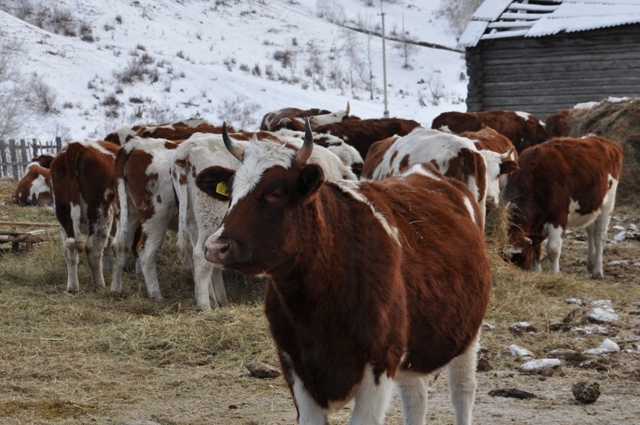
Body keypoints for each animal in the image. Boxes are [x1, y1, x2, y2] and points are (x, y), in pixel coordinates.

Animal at [50, 141, 120, 294]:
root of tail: (76, 146)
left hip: (64, 214)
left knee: (70, 247)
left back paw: (72, 287)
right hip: (100, 213)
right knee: (93, 248)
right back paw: (99, 285)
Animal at [170, 127, 358, 310]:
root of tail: (187, 150)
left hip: (195, 223)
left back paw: (218, 301)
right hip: (211, 224)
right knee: (201, 258)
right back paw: (206, 308)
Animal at [198, 121, 492, 424]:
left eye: (275, 193)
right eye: (230, 192)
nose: (216, 246)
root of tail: (426, 172)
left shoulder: (380, 363)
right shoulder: (295, 366)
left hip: (468, 332)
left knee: (462, 391)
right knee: (416, 397)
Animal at [502, 136, 624, 278]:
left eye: (520, 257)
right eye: (505, 258)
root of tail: (603, 140)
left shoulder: (558, 217)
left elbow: (553, 250)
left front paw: (555, 274)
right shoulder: (537, 224)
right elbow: (537, 246)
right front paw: (538, 271)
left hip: (608, 204)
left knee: (600, 236)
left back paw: (597, 271)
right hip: (591, 207)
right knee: (590, 231)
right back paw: (590, 263)